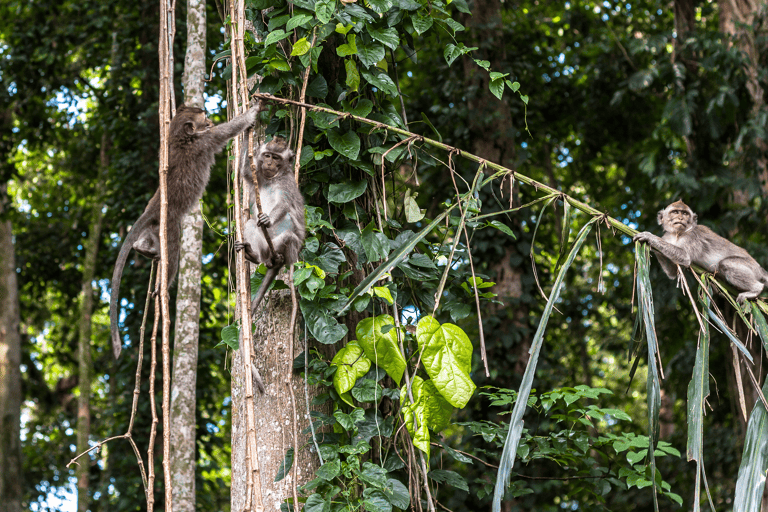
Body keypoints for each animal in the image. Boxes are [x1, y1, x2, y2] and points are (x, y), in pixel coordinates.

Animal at [110, 104, 258, 359]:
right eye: (205, 118)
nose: (210, 121)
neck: (181, 139)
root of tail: (154, 206)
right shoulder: (205, 141)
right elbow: (229, 131)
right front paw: (252, 112)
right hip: (169, 226)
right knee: (172, 253)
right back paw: (162, 287)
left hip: (154, 227)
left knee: (149, 243)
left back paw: (143, 249)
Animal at [633, 199, 768, 303]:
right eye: (675, 212)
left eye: (685, 213)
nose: (680, 218)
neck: (677, 234)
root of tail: (759, 268)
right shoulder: (667, 237)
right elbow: (673, 272)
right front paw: (651, 246)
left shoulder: (693, 236)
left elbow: (685, 257)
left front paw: (649, 237)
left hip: (750, 266)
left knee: (726, 264)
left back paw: (755, 290)